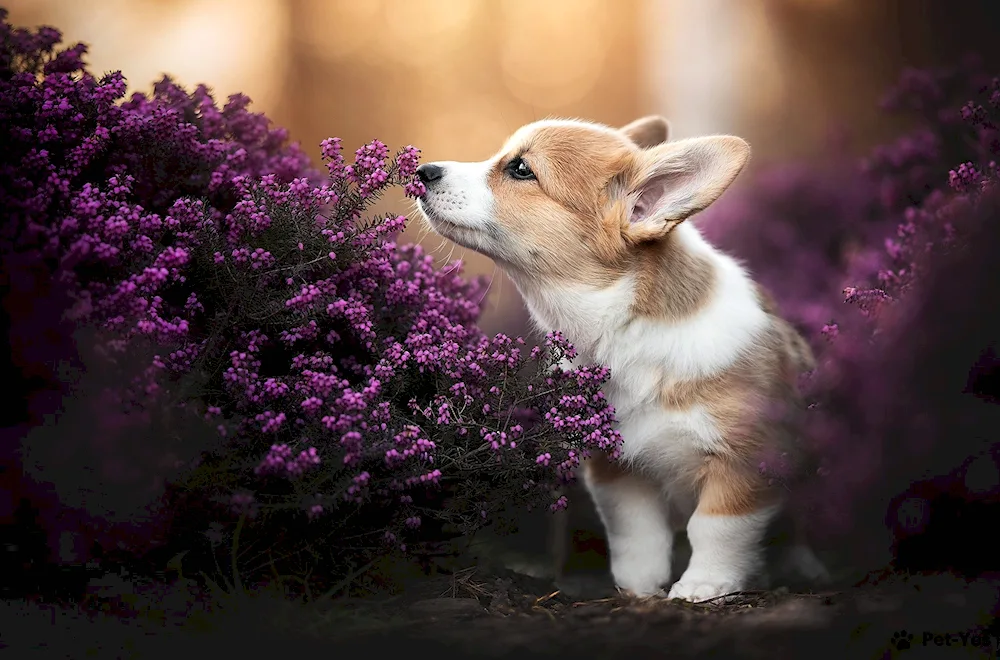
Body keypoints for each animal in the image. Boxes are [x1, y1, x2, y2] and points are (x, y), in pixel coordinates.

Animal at [418, 116, 824, 600]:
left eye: (521, 169)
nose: (421, 171)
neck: (624, 328)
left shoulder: (747, 460)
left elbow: (715, 527)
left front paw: (703, 585)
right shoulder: (618, 468)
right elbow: (637, 532)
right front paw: (639, 588)